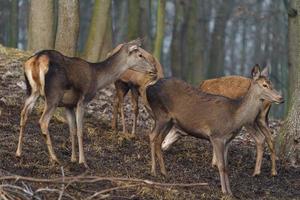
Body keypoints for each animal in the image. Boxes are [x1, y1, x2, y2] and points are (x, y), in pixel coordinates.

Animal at [15, 39, 156, 167]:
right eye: (140, 55)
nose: (153, 69)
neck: (97, 78)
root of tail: (37, 60)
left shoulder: (68, 105)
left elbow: (72, 130)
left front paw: (73, 159)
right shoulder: (83, 100)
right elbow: (80, 131)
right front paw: (83, 161)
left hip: (32, 90)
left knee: (23, 114)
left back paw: (18, 153)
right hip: (53, 94)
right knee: (43, 121)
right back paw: (54, 158)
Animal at [146, 66, 284, 195]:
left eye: (271, 83)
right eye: (264, 85)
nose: (281, 98)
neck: (234, 117)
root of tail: (149, 88)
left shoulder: (227, 140)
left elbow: (226, 166)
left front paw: (230, 191)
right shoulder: (217, 135)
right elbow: (221, 166)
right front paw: (224, 191)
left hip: (169, 120)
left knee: (159, 140)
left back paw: (164, 172)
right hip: (161, 114)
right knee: (152, 135)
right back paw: (153, 171)